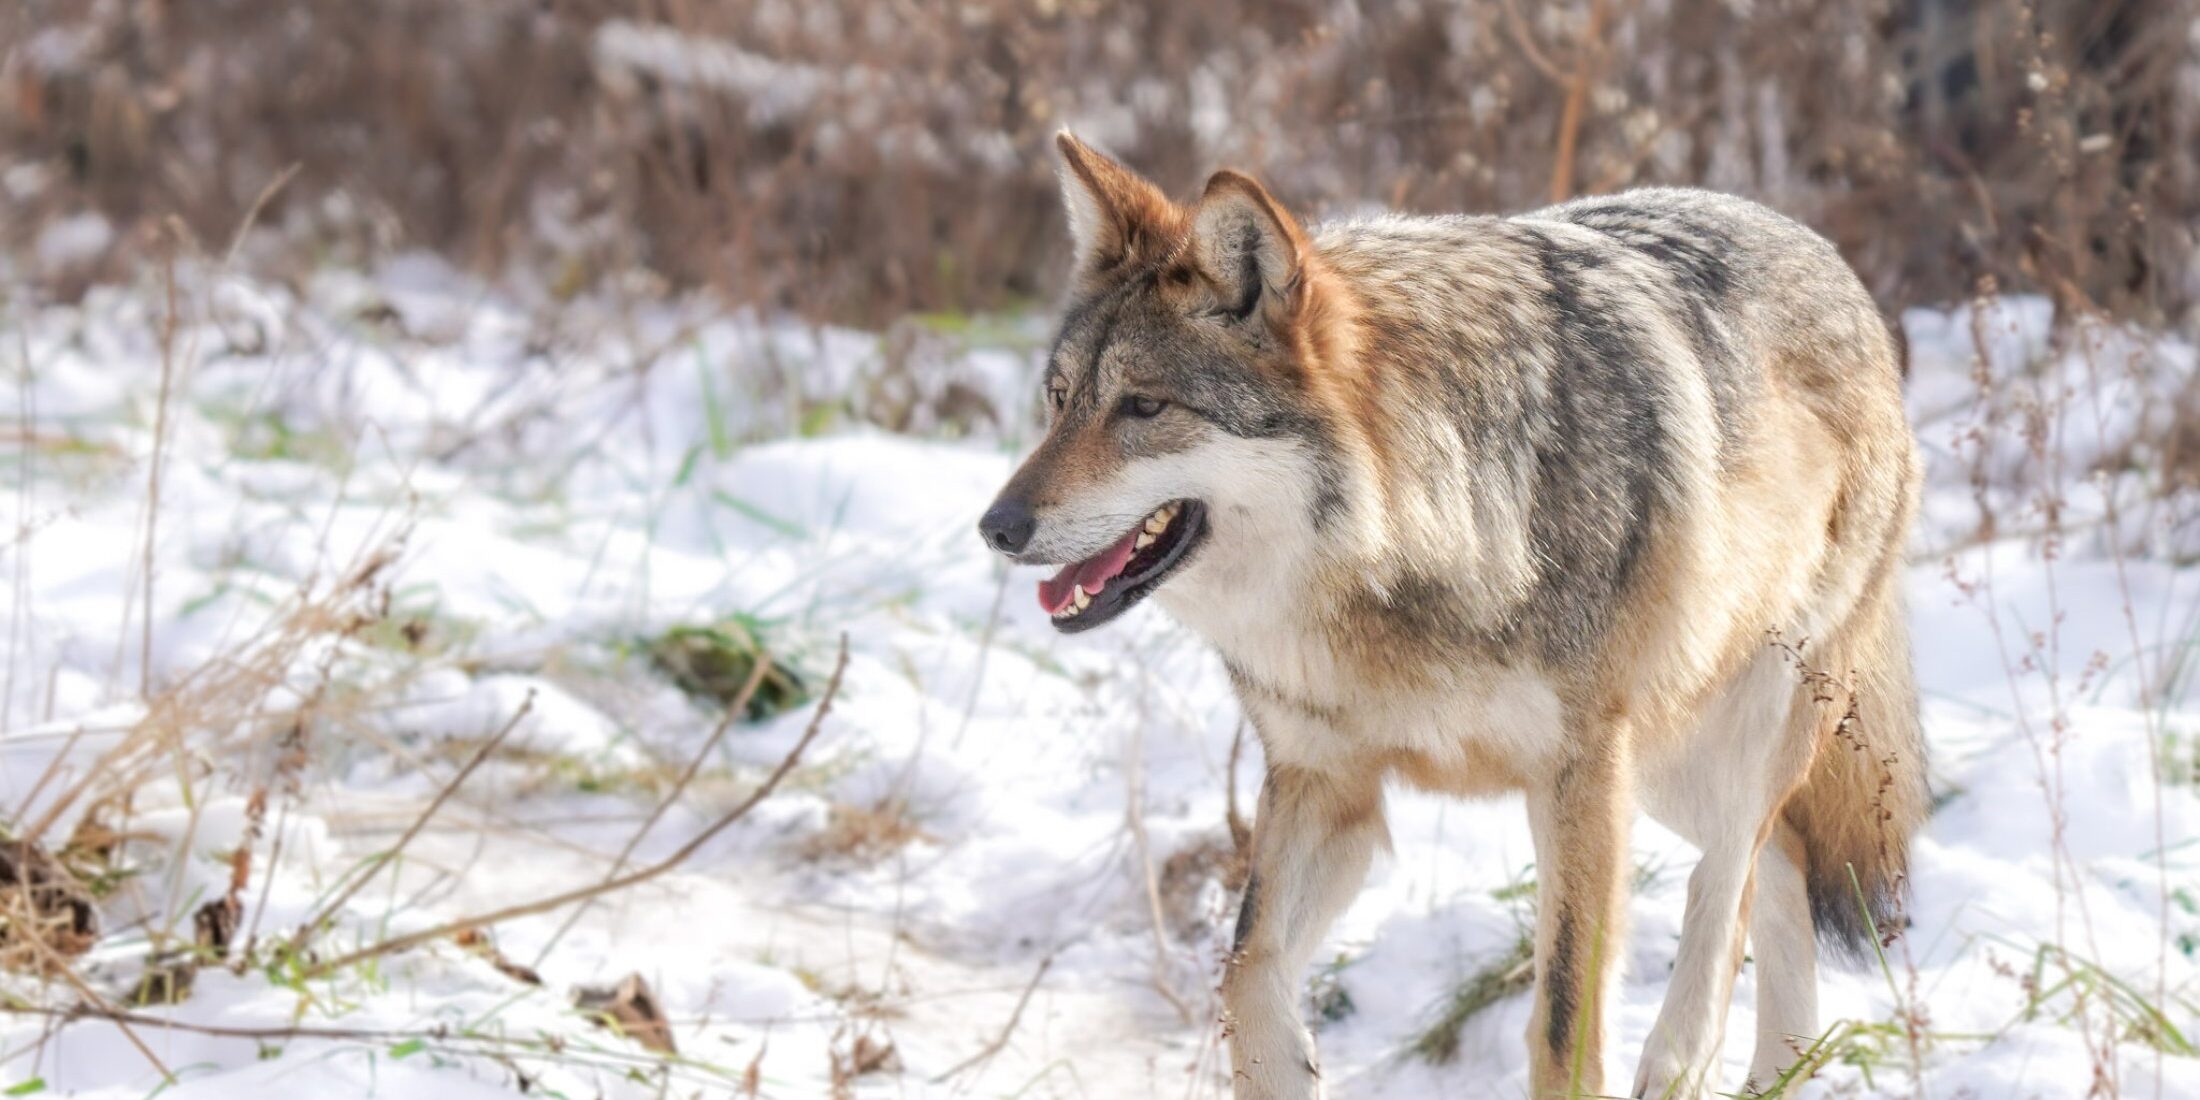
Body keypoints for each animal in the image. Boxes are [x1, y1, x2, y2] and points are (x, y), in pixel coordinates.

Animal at [978, 133, 1927, 1099]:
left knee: (1728, 880)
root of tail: (1830, 260)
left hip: (1729, 735)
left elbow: (1563, 1022)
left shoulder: (1580, 779)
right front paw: (1287, 1064)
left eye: (1144, 406)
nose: (997, 527)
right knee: (1785, 865)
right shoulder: (1325, 782)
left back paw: (1679, 1056)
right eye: (1059, 398)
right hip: (1667, 766)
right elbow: (1245, 968)